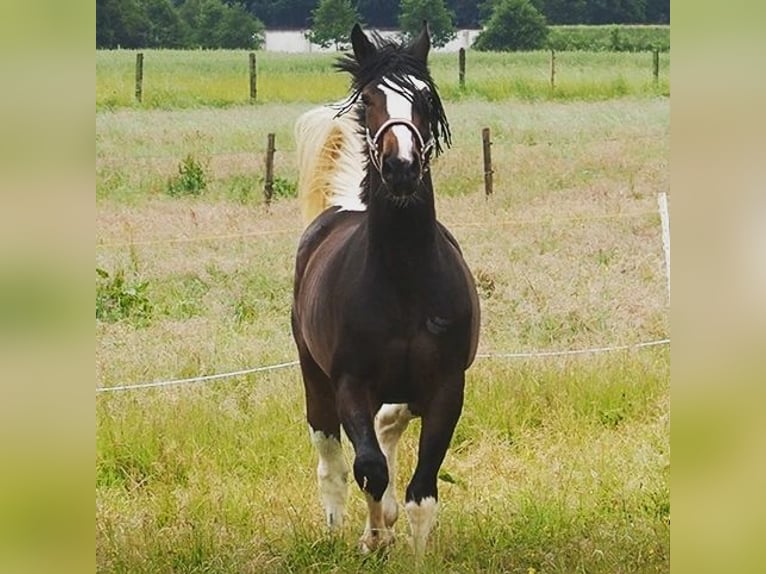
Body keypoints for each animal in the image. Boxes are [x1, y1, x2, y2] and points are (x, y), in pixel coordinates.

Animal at [292, 22, 480, 560]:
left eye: (424, 98)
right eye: (371, 99)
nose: (401, 167)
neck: (404, 282)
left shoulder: (446, 387)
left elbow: (422, 492)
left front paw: (411, 549)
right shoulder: (351, 384)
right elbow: (369, 470)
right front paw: (372, 537)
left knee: (388, 426)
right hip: (313, 374)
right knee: (332, 457)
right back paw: (339, 527)